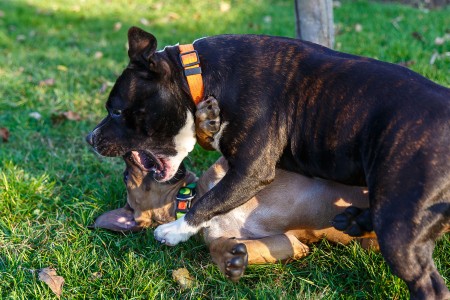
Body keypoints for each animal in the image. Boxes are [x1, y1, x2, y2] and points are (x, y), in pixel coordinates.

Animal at [87, 27, 450, 298]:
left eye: (116, 111)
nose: (90, 138)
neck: (197, 74)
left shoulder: (250, 170)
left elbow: (208, 201)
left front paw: (176, 231)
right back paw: (355, 220)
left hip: (398, 226)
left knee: (430, 286)